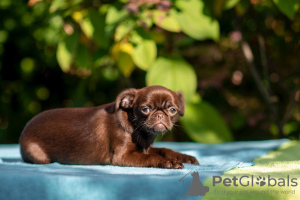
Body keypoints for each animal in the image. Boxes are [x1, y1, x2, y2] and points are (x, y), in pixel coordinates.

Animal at [19, 85, 199, 168]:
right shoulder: (122, 157)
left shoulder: (145, 148)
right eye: (145, 109)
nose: (160, 115)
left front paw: (184, 157)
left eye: (172, 110)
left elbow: (165, 150)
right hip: (38, 155)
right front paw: (168, 162)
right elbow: (151, 157)